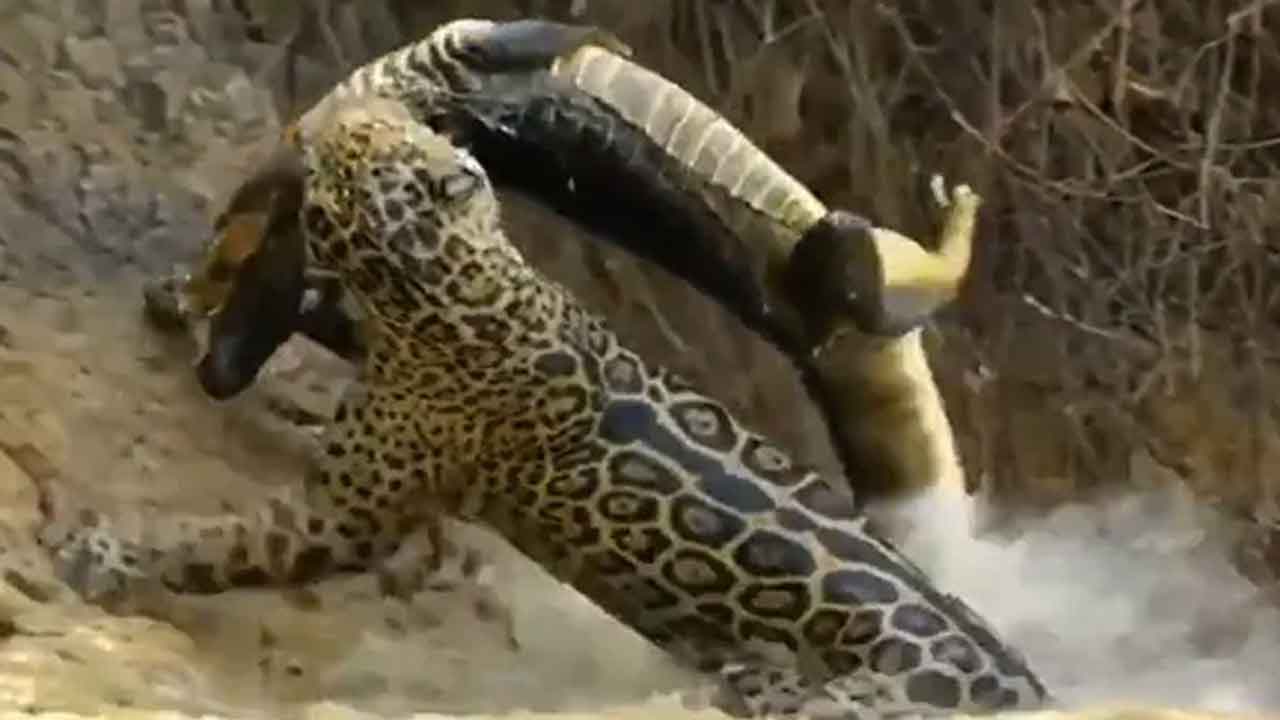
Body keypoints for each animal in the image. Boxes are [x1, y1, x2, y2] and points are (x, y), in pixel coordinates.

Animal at [39, 95, 1050, 718]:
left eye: (374, 141)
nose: (351, 111)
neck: (449, 286)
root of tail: (1023, 688)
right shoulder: (383, 341)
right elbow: (322, 311)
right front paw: (182, 294)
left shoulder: (344, 515)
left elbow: (223, 544)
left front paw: (105, 554)